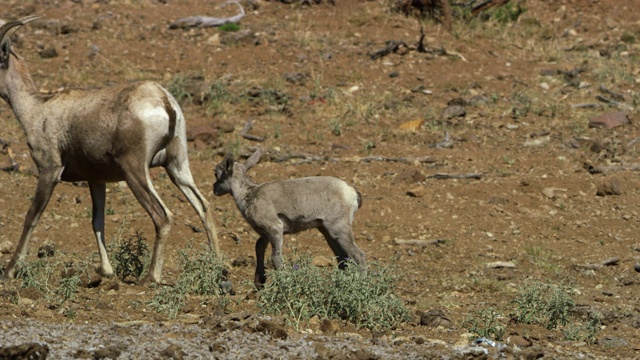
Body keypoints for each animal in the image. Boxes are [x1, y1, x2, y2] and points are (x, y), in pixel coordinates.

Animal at [0, 15, 220, 284]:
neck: (39, 107)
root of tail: (163, 100)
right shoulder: (96, 180)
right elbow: (97, 220)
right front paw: (107, 270)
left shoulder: (49, 171)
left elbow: (32, 216)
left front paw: (10, 271)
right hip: (177, 166)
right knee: (203, 206)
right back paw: (218, 266)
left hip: (134, 171)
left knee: (163, 215)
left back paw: (150, 278)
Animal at [214, 148, 368, 288]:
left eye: (216, 174)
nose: (214, 189)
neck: (248, 196)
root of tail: (352, 192)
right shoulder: (265, 234)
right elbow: (259, 247)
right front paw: (259, 283)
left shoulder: (275, 229)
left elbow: (275, 258)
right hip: (327, 232)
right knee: (342, 259)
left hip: (338, 229)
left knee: (359, 255)